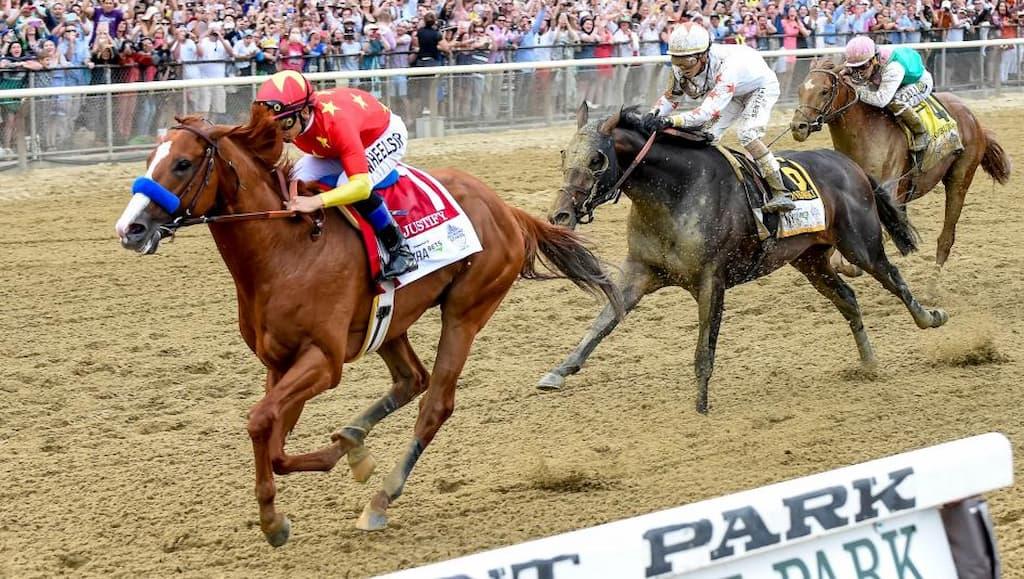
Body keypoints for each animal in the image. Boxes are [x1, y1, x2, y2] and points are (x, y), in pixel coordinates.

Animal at [114, 106, 622, 547]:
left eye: (182, 163)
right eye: (148, 159)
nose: (130, 229)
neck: (285, 249)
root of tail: (507, 209)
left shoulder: (324, 361)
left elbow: (260, 421)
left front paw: (275, 521)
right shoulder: (279, 362)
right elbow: (273, 441)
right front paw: (329, 471)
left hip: (466, 311)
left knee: (435, 404)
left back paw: (380, 499)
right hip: (391, 323)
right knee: (411, 379)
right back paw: (354, 441)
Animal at [540, 103, 948, 415]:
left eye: (596, 159)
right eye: (564, 154)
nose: (560, 215)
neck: (675, 191)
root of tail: (849, 164)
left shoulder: (711, 280)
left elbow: (704, 347)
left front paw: (701, 405)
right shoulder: (640, 270)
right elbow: (602, 323)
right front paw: (557, 372)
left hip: (860, 245)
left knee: (894, 278)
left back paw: (930, 318)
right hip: (810, 260)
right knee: (848, 298)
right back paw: (869, 363)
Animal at [790, 58, 1011, 268]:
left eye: (824, 91)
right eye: (799, 89)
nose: (797, 126)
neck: (866, 134)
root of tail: (975, 120)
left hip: (959, 179)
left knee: (947, 235)